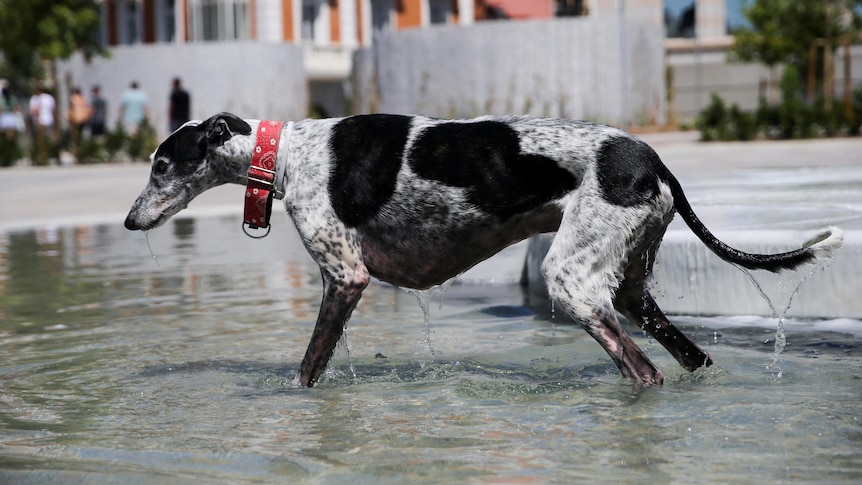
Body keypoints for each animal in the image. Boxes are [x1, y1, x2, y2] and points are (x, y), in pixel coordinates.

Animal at [123, 111, 844, 388]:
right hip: (630, 286)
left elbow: (307, 370)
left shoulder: (346, 276)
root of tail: (651, 158)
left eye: (161, 163)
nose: (130, 220)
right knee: (689, 355)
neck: (287, 151)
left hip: (573, 282)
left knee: (645, 371)